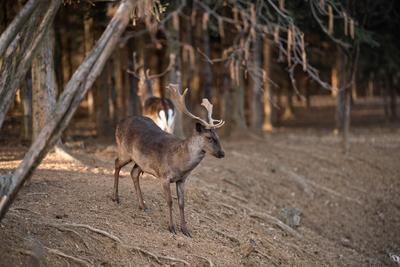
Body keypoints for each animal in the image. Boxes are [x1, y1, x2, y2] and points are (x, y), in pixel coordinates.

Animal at [112, 84, 225, 239]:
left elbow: (182, 203)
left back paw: (143, 205)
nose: (222, 153)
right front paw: (171, 227)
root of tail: (119, 122)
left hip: (141, 162)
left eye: (218, 137)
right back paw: (115, 198)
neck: (180, 163)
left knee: (133, 172)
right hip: (124, 150)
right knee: (117, 163)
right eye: (209, 137)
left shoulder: (182, 180)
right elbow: (170, 201)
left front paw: (185, 229)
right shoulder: (164, 176)